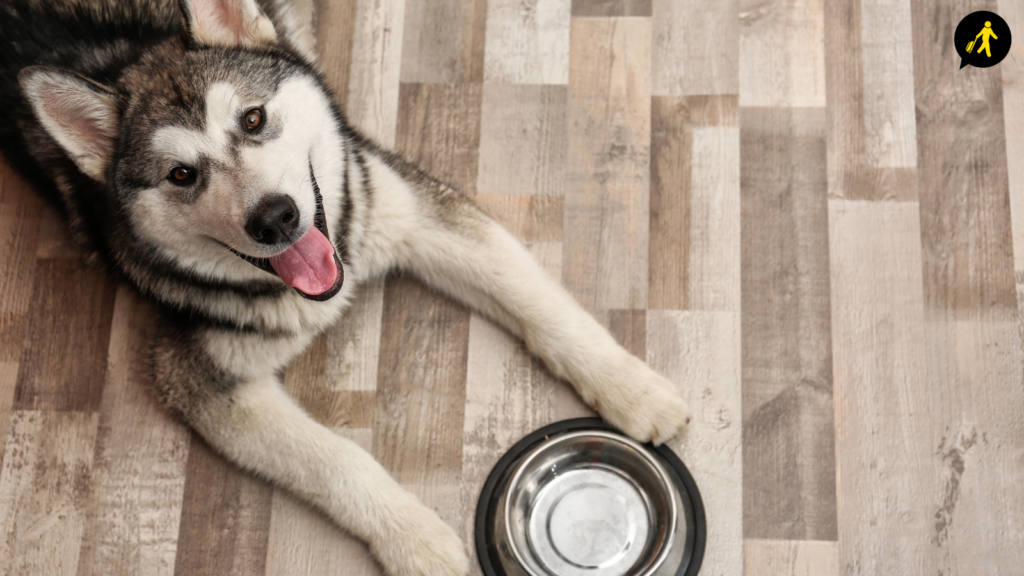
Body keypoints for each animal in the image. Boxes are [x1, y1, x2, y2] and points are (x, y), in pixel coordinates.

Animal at [2, 0, 696, 569]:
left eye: (252, 119)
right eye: (181, 175)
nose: (275, 218)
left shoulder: (418, 213)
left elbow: (546, 310)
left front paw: (631, 388)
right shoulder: (199, 378)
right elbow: (337, 460)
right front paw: (413, 537)